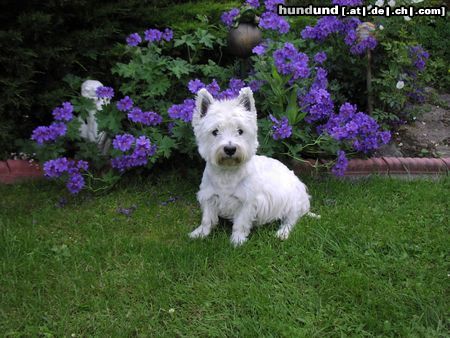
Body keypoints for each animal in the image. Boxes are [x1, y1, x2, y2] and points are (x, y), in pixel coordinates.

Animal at [188, 87, 318, 246]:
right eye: (215, 131)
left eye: (240, 131)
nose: (230, 149)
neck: (227, 172)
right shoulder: (209, 196)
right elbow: (207, 219)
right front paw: (199, 233)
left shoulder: (247, 202)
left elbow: (240, 223)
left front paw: (237, 241)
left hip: (293, 202)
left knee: (291, 221)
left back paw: (282, 233)